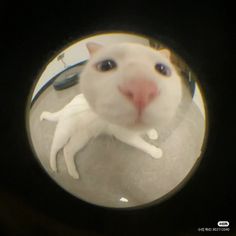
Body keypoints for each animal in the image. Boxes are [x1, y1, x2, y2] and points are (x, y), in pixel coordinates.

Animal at [40, 42, 183, 179]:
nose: (141, 86)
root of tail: (69, 103)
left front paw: (151, 132)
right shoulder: (124, 135)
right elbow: (142, 144)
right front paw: (154, 151)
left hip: (82, 137)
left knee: (67, 150)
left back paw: (73, 173)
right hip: (64, 133)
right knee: (55, 148)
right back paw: (53, 167)